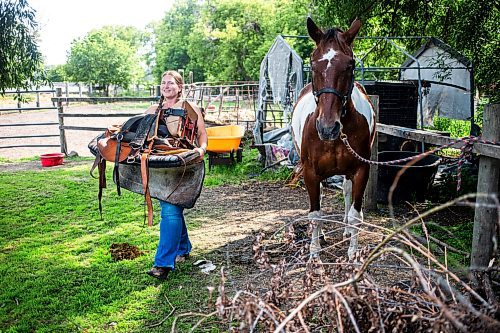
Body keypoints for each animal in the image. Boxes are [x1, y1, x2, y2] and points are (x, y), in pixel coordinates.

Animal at [292, 17, 376, 260]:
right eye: (313, 65)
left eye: (350, 65)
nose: (327, 128)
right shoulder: (311, 172)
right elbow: (315, 214)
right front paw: (314, 254)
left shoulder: (361, 170)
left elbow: (356, 215)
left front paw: (353, 255)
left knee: (347, 193)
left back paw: (346, 230)